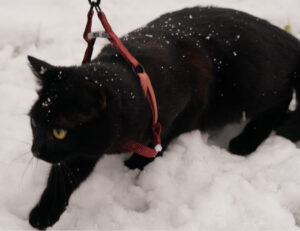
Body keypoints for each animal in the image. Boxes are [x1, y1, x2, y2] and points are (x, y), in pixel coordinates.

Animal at [28, 6, 300, 230]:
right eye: (34, 123)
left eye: (59, 131)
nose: (35, 150)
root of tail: (288, 38)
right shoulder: (86, 146)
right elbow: (65, 175)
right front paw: (44, 212)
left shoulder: (189, 101)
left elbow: (164, 137)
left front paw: (136, 165)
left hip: (250, 86)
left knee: (282, 99)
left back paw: (246, 141)